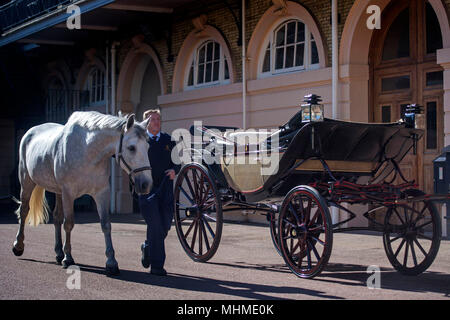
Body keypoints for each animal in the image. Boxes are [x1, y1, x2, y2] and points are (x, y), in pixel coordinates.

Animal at [11, 111, 153, 276]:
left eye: (148, 146)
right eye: (131, 147)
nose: (146, 184)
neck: (87, 151)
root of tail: (30, 132)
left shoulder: (101, 193)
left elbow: (106, 225)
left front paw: (111, 263)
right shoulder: (68, 193)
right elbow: (69, 224)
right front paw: (68, 258)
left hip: (58, 191)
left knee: (57, 217)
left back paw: (58, 253)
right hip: (27, 182)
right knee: (24, 211)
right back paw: (18, 245)